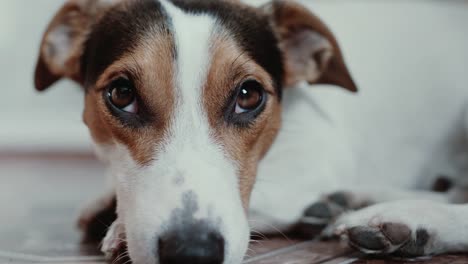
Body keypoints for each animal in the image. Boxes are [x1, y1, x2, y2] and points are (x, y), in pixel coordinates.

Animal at [34, 0, 468, 262]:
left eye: (249, 95)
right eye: (122, 93)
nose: (192, 251)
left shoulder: (310, 162)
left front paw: (118, 225)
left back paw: (409, 219)